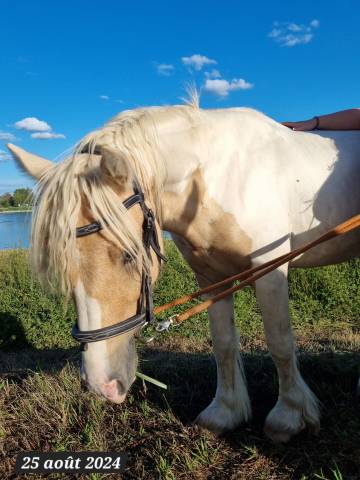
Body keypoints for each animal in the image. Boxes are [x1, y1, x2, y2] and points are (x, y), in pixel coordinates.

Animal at [7, 98, 360, 442]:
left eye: (129, 256)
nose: (101, 384)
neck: (221, 177)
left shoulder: (271, 269)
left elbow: (280, 342)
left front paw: (289, 416)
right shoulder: (211, 278)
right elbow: (223, 343)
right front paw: (225, 412)